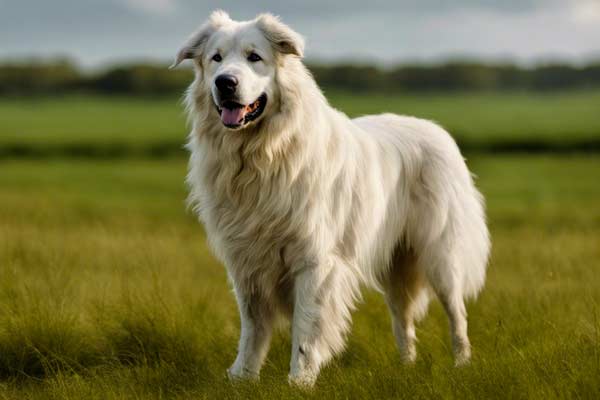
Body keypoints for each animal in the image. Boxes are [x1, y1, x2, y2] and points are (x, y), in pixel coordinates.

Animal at [172, 10, 488, 386]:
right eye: (216, 58)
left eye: (254, 57)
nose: (225, 83)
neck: (262, 155)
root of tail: (437, 130)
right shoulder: (246, 260)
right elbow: (252, 327)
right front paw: (242, 377)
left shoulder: (314, 261)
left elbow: (306, 330)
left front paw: (299, 382)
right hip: (396, 265)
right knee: (403, 320)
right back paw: (406, 367)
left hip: (440, 256)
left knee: (457, 315)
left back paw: (462, 365)